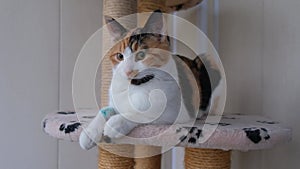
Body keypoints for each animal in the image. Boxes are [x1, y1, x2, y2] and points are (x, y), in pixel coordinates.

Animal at [79, 9, 220, 149]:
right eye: (119, 56)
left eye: (141, 55)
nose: (128, 71)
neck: (136, 86)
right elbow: (104, 111)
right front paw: (89, 133)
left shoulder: (176, 113)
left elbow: (145, 113)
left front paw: (115, 123)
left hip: (206, 61)